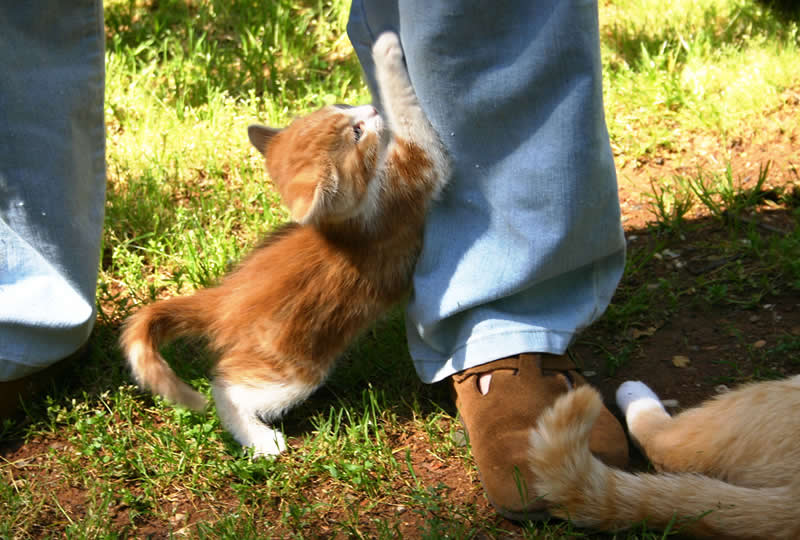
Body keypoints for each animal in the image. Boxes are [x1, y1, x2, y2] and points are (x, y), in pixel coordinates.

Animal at [117, 32, 450, 456]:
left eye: (342, 108)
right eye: (356, 133)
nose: (371, 107)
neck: (349, 216)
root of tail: (222, 298)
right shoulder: (413, 179)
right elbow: (411, 119)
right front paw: (386, 51)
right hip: (293, 368)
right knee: (224, 386)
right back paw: (260, 439)